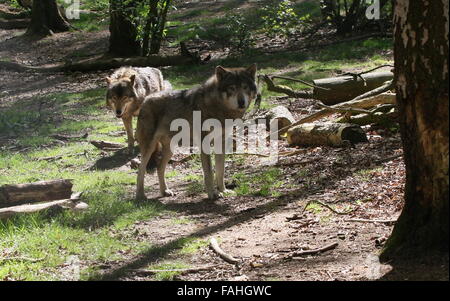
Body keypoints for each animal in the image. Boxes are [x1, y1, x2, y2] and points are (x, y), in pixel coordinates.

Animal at [135, 63, 258, 199]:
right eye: (232, 88)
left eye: (245, 87)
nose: (241, 102)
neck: (218, 107)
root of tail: (145, 99)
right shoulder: (205, 144)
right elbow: (209, 172)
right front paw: (213, 194)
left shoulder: (221, 143)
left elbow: (220, 170)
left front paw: (223, 190)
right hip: (149, 148)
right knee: (140, 170)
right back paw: (140, 195)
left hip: (170, 150)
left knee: (159, 167)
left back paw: (165, 191)